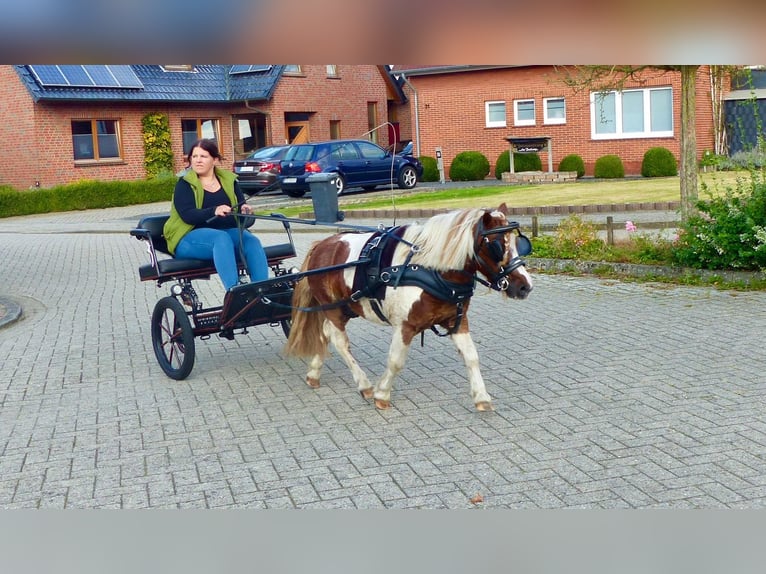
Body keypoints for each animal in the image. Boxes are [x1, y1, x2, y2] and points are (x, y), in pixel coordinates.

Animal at [284, 205, 536, 412]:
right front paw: (382, 394)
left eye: (519, 244)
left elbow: (471, 356)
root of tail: (320, 246)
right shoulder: (405, 326)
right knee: (338, 340)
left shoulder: (457, 322)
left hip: (345, 308)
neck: (431, 269)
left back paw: (314, 373)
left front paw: (481, 397)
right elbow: (396, 361)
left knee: (325, 333)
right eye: (498, 245)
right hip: (335, 310)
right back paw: (364, 384)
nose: (525, 286)